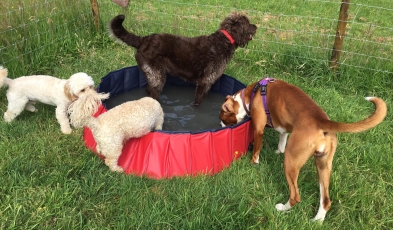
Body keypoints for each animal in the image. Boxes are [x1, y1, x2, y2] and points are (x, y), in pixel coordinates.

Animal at [108, 12, 258, 105]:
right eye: (247, 23)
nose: (256, 26)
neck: (223, 41)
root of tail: (143, 40)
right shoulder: (204, 82)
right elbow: (197, 102)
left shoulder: (209, 83)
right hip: (157, 76)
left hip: (152, 75)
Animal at [219, 77, 388, 221]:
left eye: (222, 118)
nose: (220, 125)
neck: (253, 93)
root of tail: (322, 121)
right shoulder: (284, 128)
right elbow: (282, 139)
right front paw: (278, 150)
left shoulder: (259, 129)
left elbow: (256, 150)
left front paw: (253, 162)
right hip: (323, 166)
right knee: (325, 200)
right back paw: (317, 221)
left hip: (291, 161)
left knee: (295, 196)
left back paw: (282, 208)